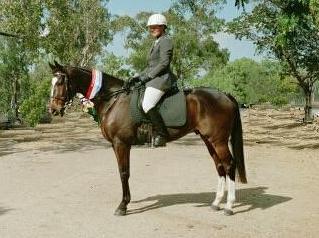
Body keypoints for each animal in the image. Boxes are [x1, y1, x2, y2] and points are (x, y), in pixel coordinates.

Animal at [48, 61, 248, 216]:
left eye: (60, 81)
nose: (52, 109)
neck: (113, 99)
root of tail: (225, 95)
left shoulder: (121, 143)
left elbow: (124, 173)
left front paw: (123, 206)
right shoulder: (116, 145)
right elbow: (123, 171)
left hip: (218, 140)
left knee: (229, 165)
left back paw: (229, 206)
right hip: (209, 140)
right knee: (219, 166)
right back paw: (216, 203)